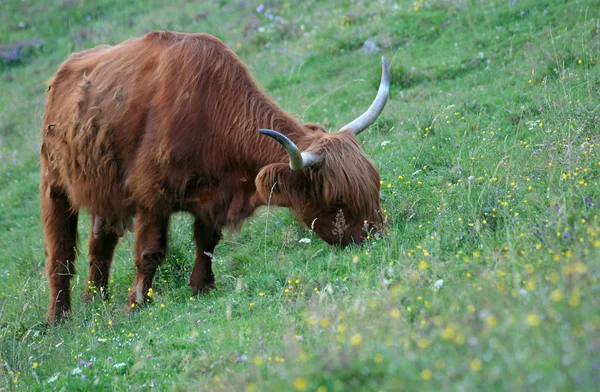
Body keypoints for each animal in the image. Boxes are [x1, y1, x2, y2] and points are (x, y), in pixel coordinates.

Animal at [41, 31, 390, 324]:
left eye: (374, 185)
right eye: (338, 201)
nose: (379, 236)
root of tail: (67, 67)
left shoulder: (215, 197)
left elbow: (207, 242)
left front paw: (202, 286)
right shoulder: (152, 197)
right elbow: (150, 251)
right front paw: (137, 302)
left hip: (103, 189)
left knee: (100, 240)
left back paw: (95, 299)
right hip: (54, 182)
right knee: (60, 252)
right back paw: (59, 317)